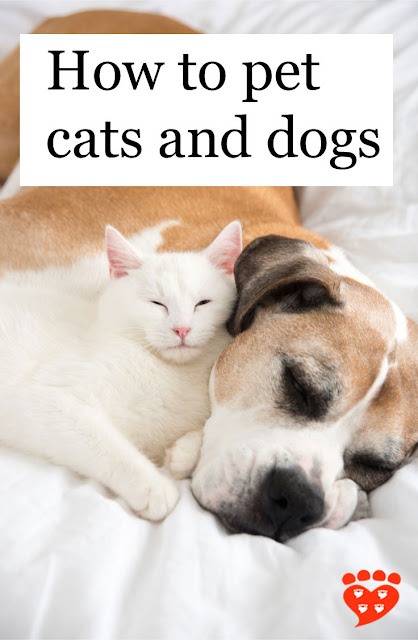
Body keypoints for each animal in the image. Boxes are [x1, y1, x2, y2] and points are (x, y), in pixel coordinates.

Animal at [0, 220, 242, 520]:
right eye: (157, 303)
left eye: (203, 303)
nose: (182, 329)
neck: (171, 372)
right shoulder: (51, 399)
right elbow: (105, 445)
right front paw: (153, 488)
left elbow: (212, 428)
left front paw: (184, 451)